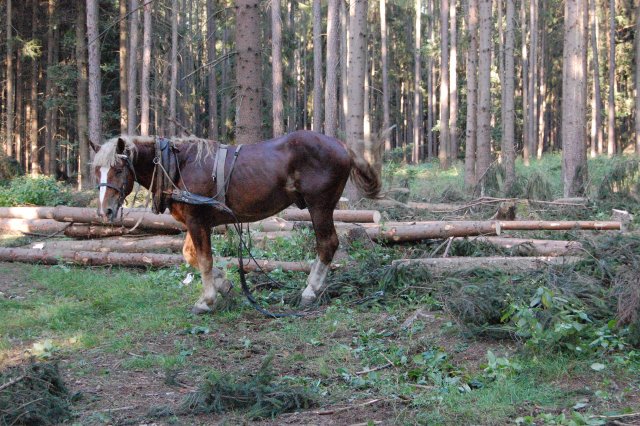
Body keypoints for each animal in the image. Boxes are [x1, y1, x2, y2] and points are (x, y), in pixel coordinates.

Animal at [92, 131, 382, 314]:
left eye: (119, 169)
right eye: (97, 170)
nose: (106, 211)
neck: (177, 165)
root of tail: (341, 145)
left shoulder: (197, 220)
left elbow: (204, 259)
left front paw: (207, 301)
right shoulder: (194, 221)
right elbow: (190, 255)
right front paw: (225, 286)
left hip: (319, 206)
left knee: (327, 244)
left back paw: (309, 292)